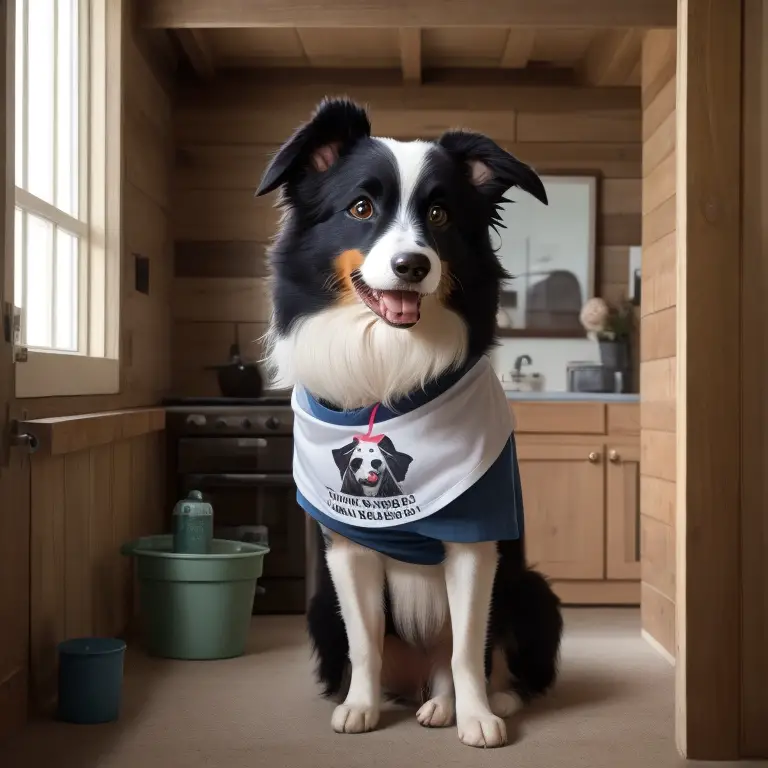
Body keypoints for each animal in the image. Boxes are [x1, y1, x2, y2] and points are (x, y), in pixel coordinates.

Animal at [255, 99, 560, 748]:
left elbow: (468, 648)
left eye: (440, 213)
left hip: (533, 589)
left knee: (466, 661)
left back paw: (464, 703)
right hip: (319, 610)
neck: (390, 371)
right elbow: (366, 643)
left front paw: (477, 717)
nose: (412, 265)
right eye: (360, 208)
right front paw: (361, 707)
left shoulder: (476, 542)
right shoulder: (348, 547)